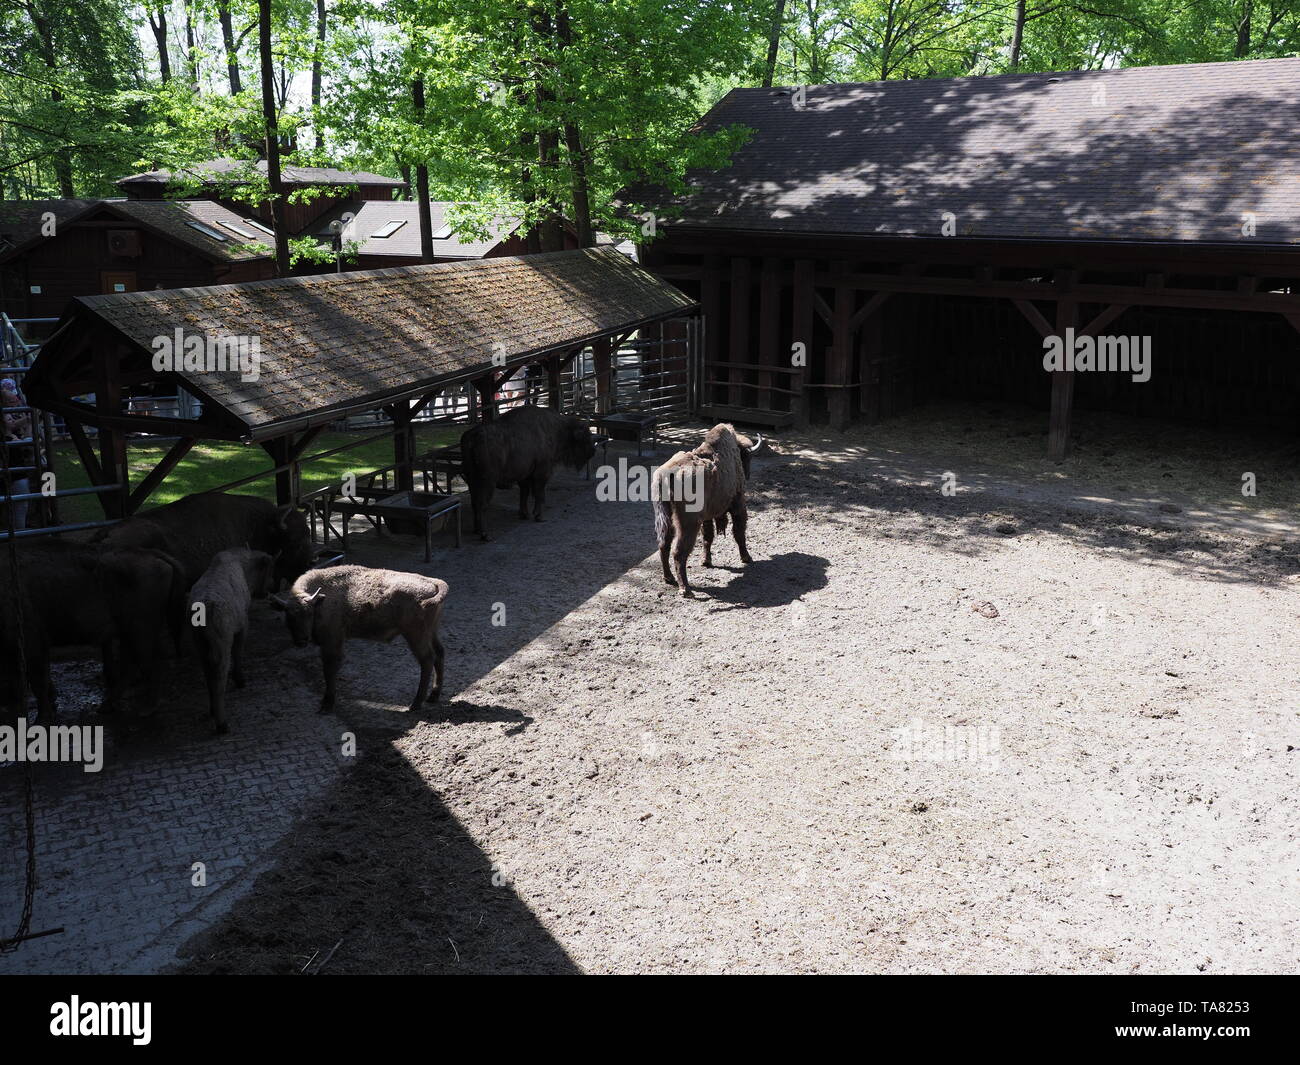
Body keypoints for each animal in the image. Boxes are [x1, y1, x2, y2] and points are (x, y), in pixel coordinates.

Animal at [188, 548, 274, 733]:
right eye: (269, 570)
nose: (268, 592)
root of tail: (205, 609)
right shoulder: (242, 625)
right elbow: (238, 652)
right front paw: (239, 679)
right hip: (220, 646)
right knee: (219, 678)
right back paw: (222, 723)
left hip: (200, 646)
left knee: (208, 675)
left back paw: (213, 709)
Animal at [271, 566, 449, 717]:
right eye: (288, 616)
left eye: (308, 613)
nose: (301, 641)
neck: (320, 603)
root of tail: (433, 583)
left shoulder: (332, 642)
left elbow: (329, 670)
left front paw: (327, 705)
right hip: (431, 632)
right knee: (439, 653)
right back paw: (433, 696)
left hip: (415, 636)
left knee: (427, 660)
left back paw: (415, 704)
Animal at [460, 405, 595, 546]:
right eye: (586, 436)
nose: (593, 450)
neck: (558, 428)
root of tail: (473, 437)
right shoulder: (542, 473)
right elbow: (539, 494)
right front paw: (539, 516)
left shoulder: (524, 476)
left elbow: (524, 494)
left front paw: (524, 514)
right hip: (488, 481)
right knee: (482, 504)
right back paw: (485, 535)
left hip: (472, 480)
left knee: (474, 502)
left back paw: (476, 530)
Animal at [650, 421, 759, 595]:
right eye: (746, 457)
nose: (747, 474)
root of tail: (667, 474)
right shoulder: (738, 506)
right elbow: (739, 532)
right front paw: (746, 558)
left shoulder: (707, 517)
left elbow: (708, 537)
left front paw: (706, 561)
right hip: (688, 524)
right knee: (678, 552)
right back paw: (686, 589)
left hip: (665, 519)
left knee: (664, 545)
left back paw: (669, 579)